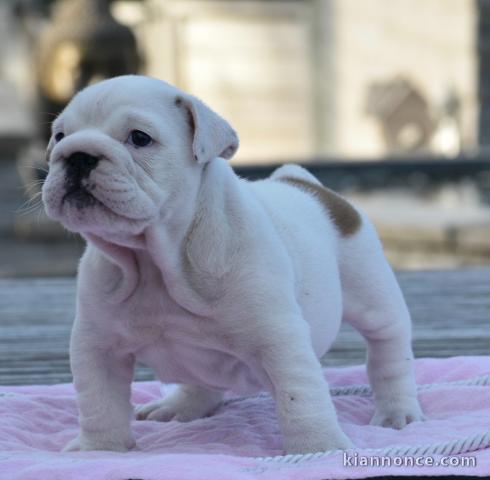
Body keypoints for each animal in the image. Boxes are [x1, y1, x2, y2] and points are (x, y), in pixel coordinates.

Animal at [42, 75, 424, 454]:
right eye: (59, 136)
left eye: (139, 138)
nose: (77, 155)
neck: (156, 259)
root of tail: (302, 181)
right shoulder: (98, 343)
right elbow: (99, 400)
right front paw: (98, 449)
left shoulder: (280, 339)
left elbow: (301, 397)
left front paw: (318, 448)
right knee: (202, 380)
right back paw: (179, 405)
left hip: (374, 296)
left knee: (388, 352)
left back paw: (397, 411)